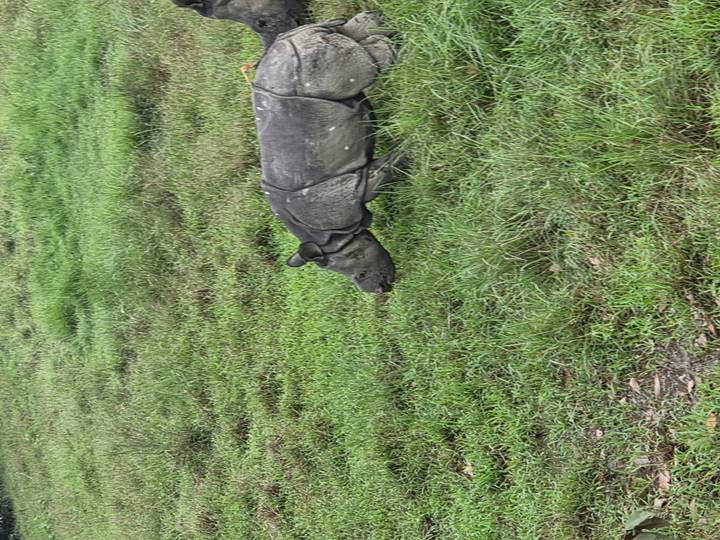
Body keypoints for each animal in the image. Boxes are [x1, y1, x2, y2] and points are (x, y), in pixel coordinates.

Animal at [252, 12, 403, 293]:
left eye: (360, 275)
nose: (380, 289)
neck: (331, 240)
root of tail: (296, 34)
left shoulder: (351, 189)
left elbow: (392, 167)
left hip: (305, 66)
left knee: (369, 68)